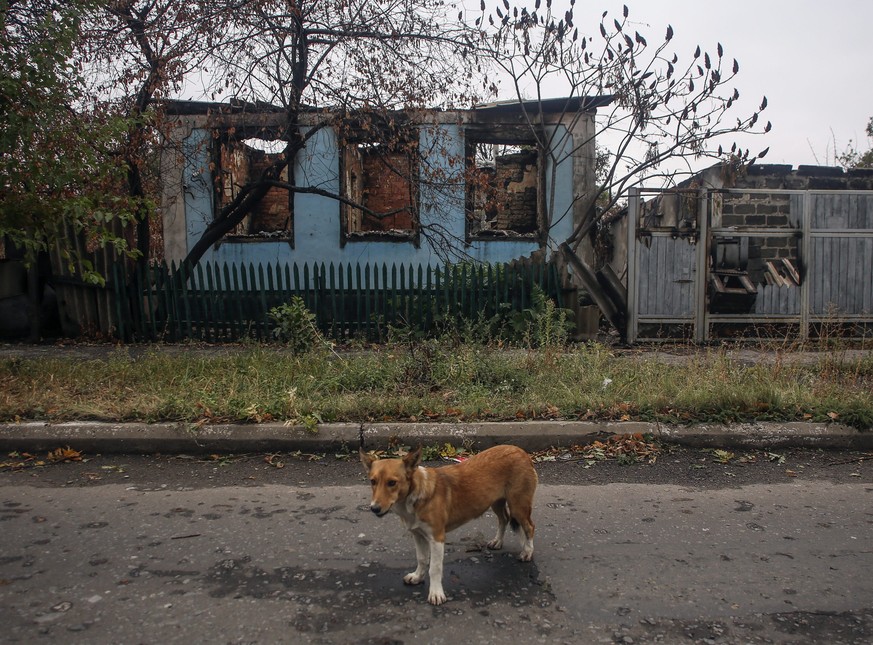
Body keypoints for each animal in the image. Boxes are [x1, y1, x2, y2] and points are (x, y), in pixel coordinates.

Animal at [358, 442, 536, 604]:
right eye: (373, 481)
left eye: (392, 483)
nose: (374, 508)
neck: (415, 494)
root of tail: (521, 452)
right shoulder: (418, 535)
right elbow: (422, 559)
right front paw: (417, 576)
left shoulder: (437, 538)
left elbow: (435, 568)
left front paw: (436, 593)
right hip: (496, 502)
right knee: (504, 519)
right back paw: (498, 541)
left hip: (518, 505)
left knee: (529, 527)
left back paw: (527, 552)